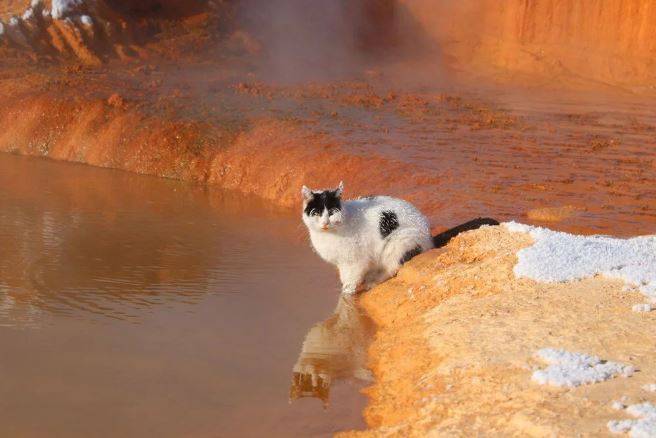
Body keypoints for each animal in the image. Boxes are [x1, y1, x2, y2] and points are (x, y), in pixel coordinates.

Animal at [300, 181, 434, 294]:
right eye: (316, 213)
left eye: (332, 213)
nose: (325, 223)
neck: (329, 234)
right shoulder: (342, 263)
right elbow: (345, 278)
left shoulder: (356, 261)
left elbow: (350, 283)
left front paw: (346, 296)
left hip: (398, 243)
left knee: (392, 267)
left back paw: (373, 281)